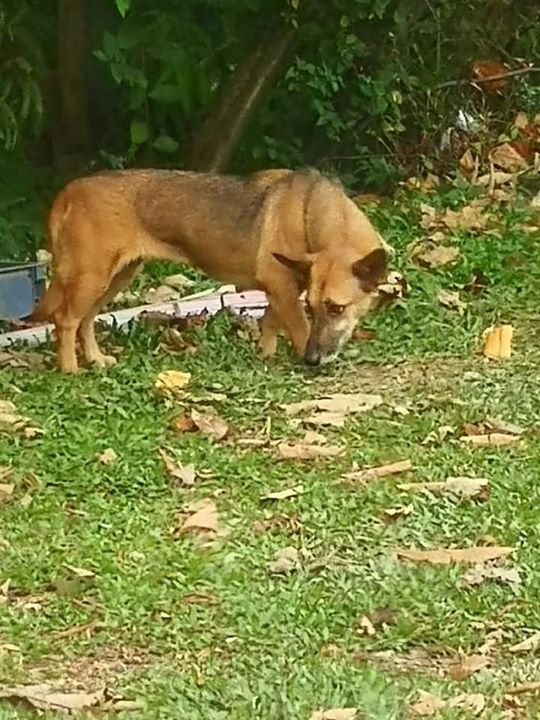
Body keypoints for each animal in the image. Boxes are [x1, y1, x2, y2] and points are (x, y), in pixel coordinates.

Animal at [31, 167, 386, 372]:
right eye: (314, 307)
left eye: (336, 309)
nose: (314, 360)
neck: (308, 209)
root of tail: (70, 191)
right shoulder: (282, 287)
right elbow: (298, 330)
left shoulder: (281, 290)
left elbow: (271, 323)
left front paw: (266, 354)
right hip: (91, 277)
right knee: (66, 319)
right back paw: (71, 370)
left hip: (115, 277)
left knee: (85, 319)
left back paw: (95, 360)